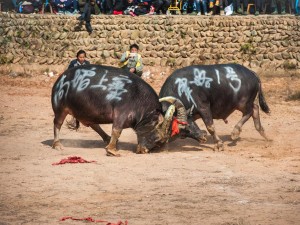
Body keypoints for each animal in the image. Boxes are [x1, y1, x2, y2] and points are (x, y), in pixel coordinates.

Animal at [50, 65, 189, 156]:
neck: (138, 98)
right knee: (57, 123)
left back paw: (107, 139)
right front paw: (112, 150)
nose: (143, 151)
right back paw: (57, 144)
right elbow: (117, 130)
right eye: (158, 138)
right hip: (60, 109)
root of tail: (61, 79)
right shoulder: (121, 113)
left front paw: (111, 145)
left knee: (94, 124)